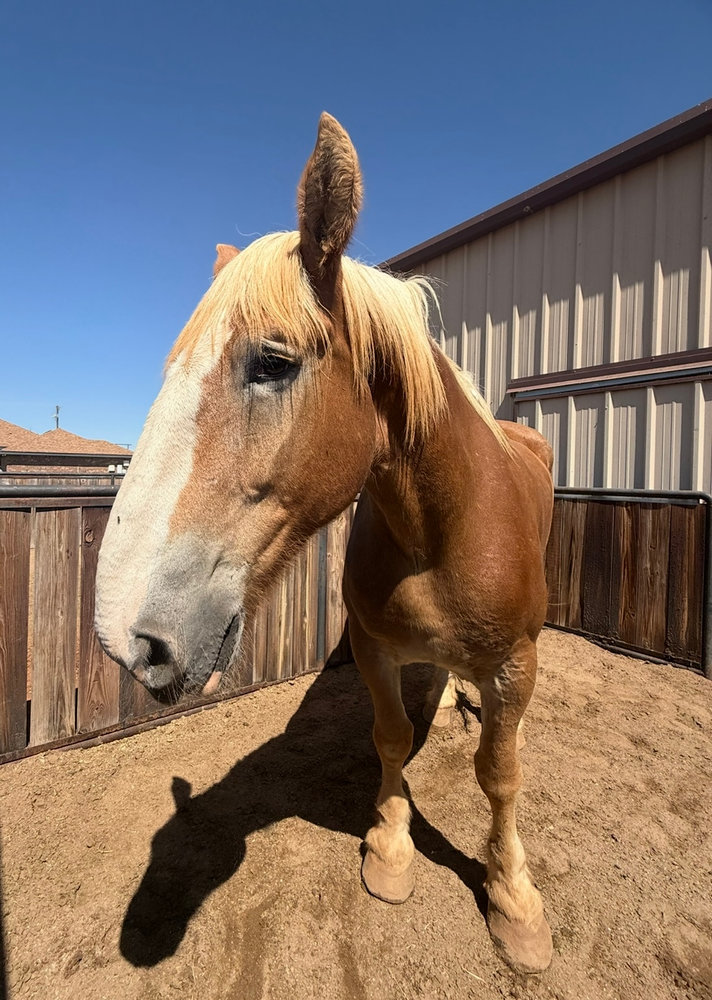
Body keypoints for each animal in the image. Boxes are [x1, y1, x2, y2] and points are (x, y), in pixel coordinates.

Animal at [95, 113, 555, 975]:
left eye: (272, 362)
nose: (125, 637)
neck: (442, 530)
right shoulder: (373, 647)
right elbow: (392, 738)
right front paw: (391, 848)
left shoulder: (515, 664)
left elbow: (501, 773)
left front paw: (514, 900)